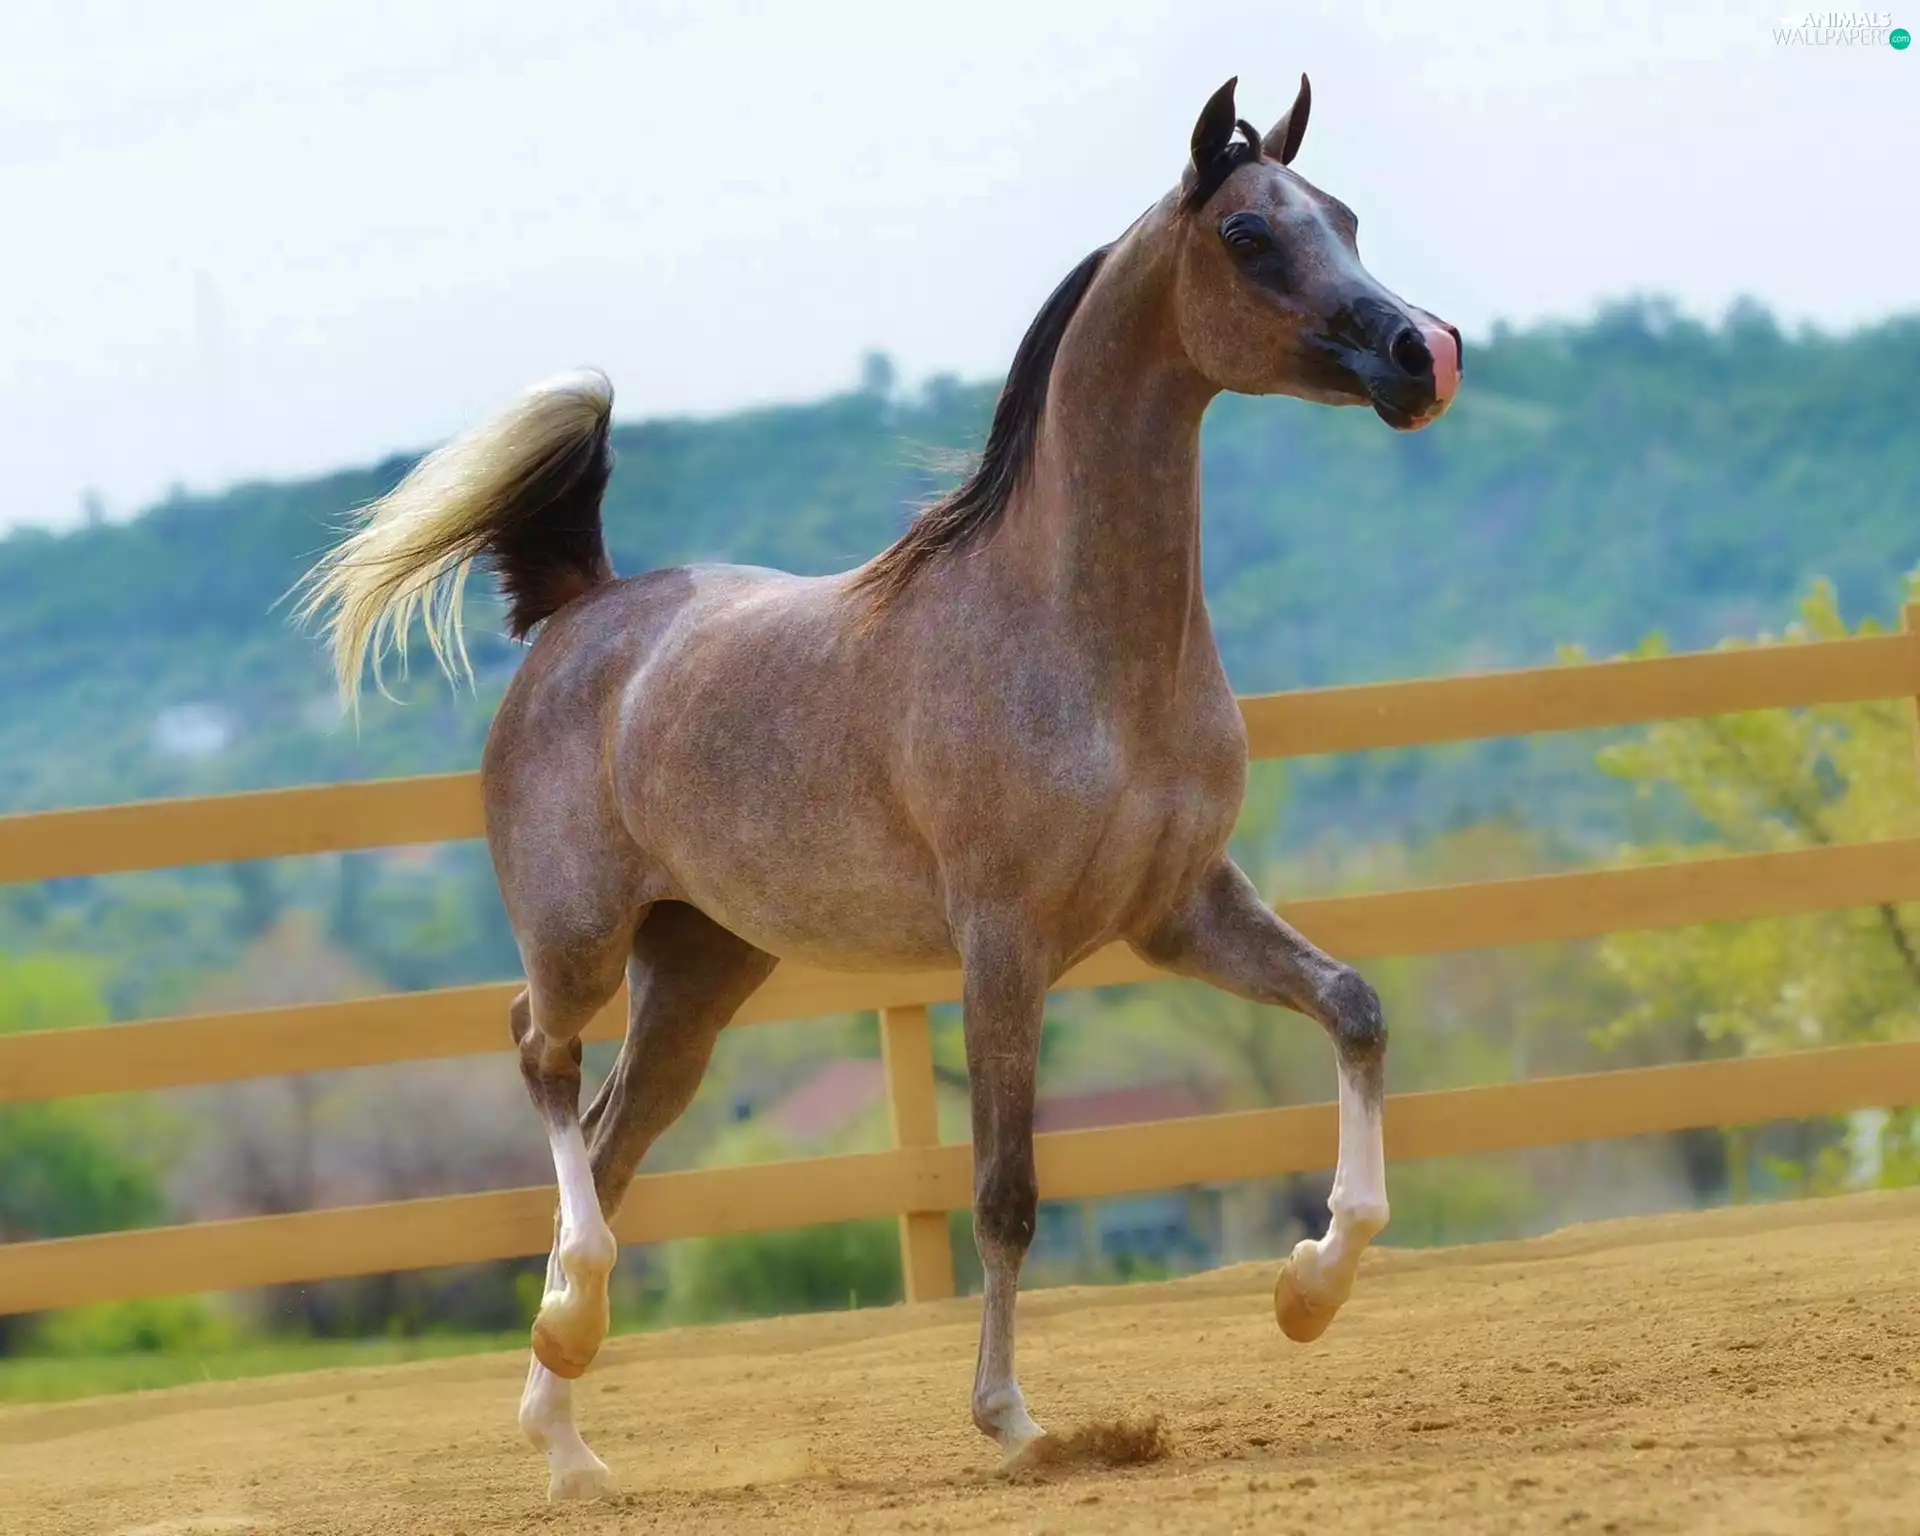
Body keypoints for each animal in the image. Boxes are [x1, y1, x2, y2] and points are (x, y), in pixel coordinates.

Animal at [295, 72, 1460, 1501]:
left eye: (1341, 215)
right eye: (1248, 233)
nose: (1424, 354)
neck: (1077, 640)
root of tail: (585, 606)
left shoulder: (1177, 910)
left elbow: (1354, 1009)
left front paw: (1309, 1290)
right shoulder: (1004, 944)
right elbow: (1004, 1189)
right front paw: (1014, 1421)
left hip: (697, 976)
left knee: (616, 1138)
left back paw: (568, 1437)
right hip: (577, 937)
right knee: (543, 1061)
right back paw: (570, 1330)